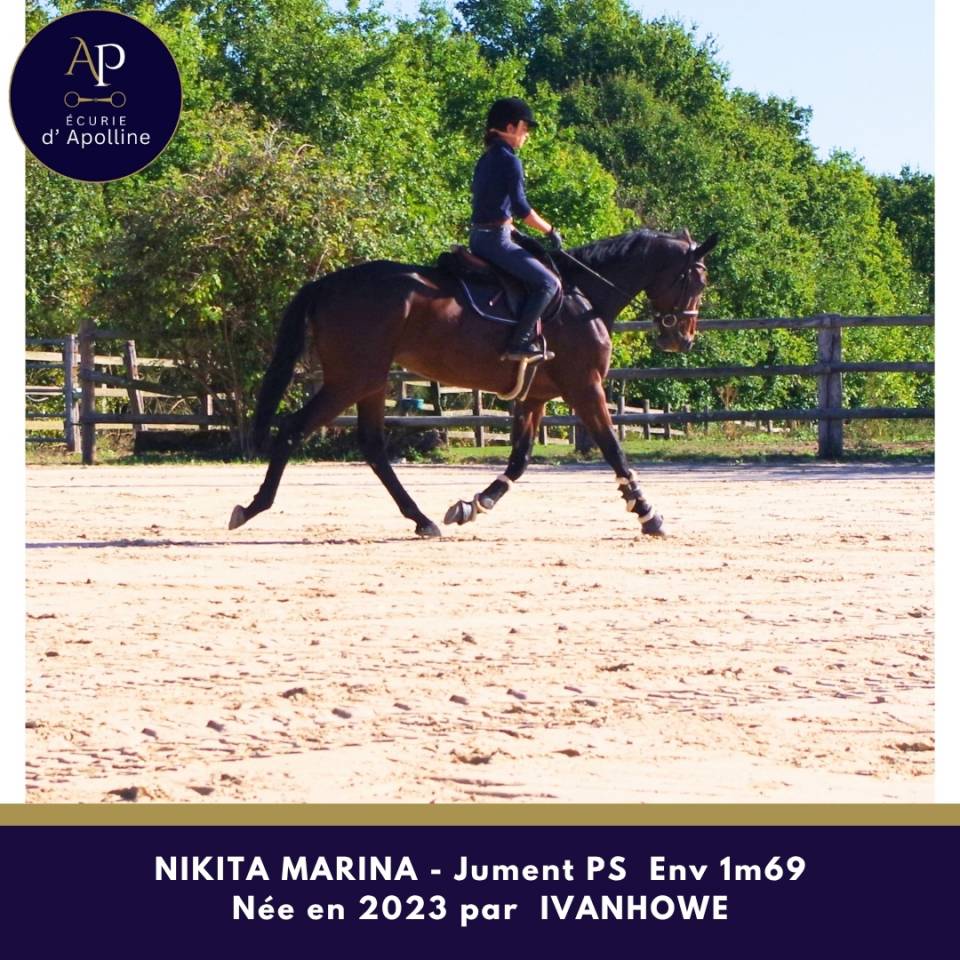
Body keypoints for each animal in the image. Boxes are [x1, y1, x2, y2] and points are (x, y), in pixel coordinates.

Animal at [228, 226, 719, 538]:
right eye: (697, 280)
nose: (682, 338)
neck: (585, 297)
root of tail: (328, 283)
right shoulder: (585, 386)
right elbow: (614, 449)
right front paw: (648, 514)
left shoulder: (535, 396)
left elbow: (519, 461)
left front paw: (472, 506)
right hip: (352, 379)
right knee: (294, 430)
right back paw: (253, 506)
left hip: (370, 380)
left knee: (372, 447)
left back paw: (421, 519)